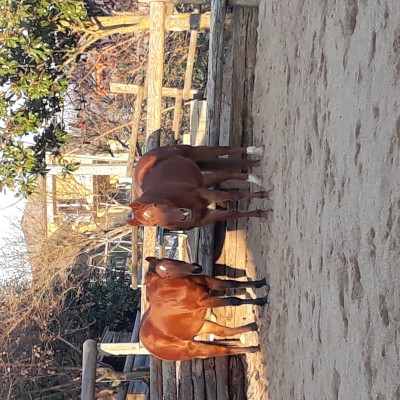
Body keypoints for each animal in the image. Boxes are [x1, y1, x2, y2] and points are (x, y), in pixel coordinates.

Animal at [128, 145, 272, 230]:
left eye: (155, 205)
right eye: (154, 224)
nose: (183, 216)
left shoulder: (202, 192)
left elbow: (235, 196)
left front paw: (263, 195)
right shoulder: (207, 216)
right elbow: (233, 214)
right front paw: (262, 213)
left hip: (195, 152)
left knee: (223, 149)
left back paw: (256, 151)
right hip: (203, 180)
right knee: (225, 173)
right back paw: (254, 177)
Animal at [139, 258, 268, 360]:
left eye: (170, 260)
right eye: (167, 275)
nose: (196, 268)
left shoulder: (209, 282)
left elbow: (233, 283)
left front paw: (261, 283)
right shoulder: (204, 302)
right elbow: (234, 301)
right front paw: (262, 300)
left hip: (203, 326)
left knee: (225, 332)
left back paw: (253, 326)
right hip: (196, 347)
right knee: (224, 350)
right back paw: (255, 348)